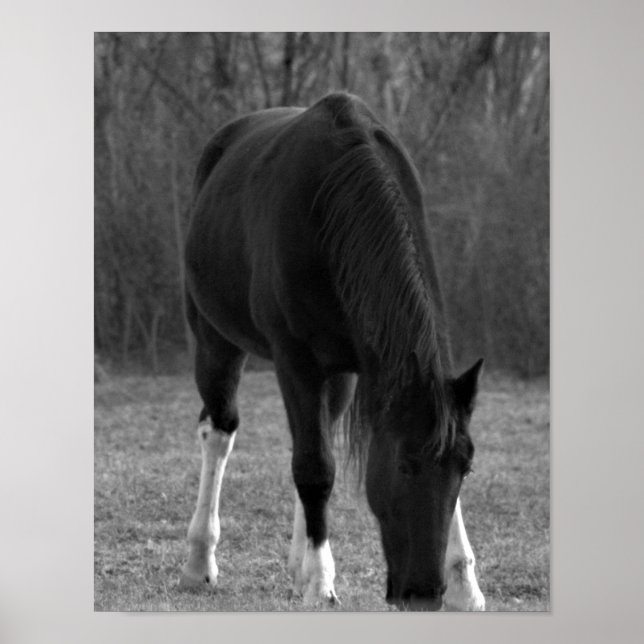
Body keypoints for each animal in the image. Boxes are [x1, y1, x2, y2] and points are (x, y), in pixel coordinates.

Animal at [178, 92, 485, 611]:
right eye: (404, 464)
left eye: (465, 467)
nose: (424, 593)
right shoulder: (296, 362)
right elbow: (315, 467)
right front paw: (322, 583)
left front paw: (465, 584)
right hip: (215, 341)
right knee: (218, 431)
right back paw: (201, 561)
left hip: (338, 376)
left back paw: (296, 565)